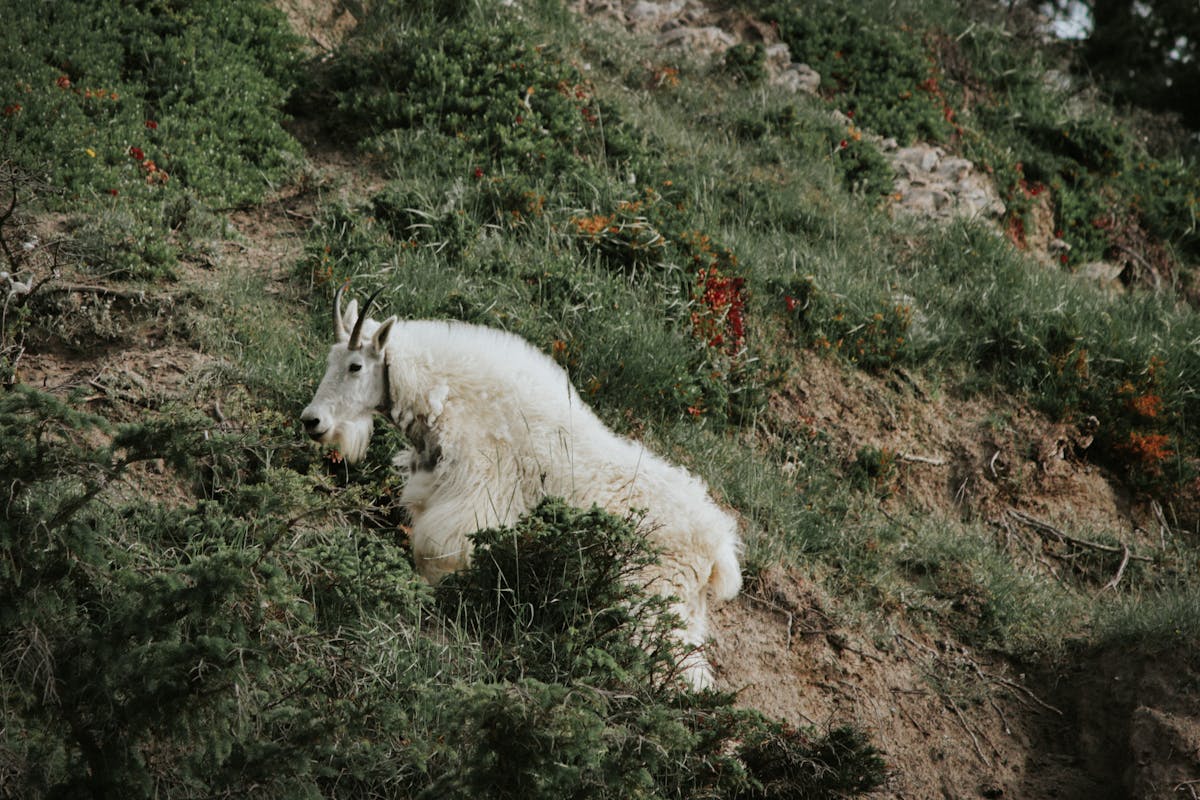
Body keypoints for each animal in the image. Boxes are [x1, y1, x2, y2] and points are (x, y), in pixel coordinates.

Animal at [300, 288, 742, 688]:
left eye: (356, 366)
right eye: (330, 360)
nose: (312, 420)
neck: (448, 397)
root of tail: (717, 545)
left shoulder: (474, 498)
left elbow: (436, 553)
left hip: (653, 597)